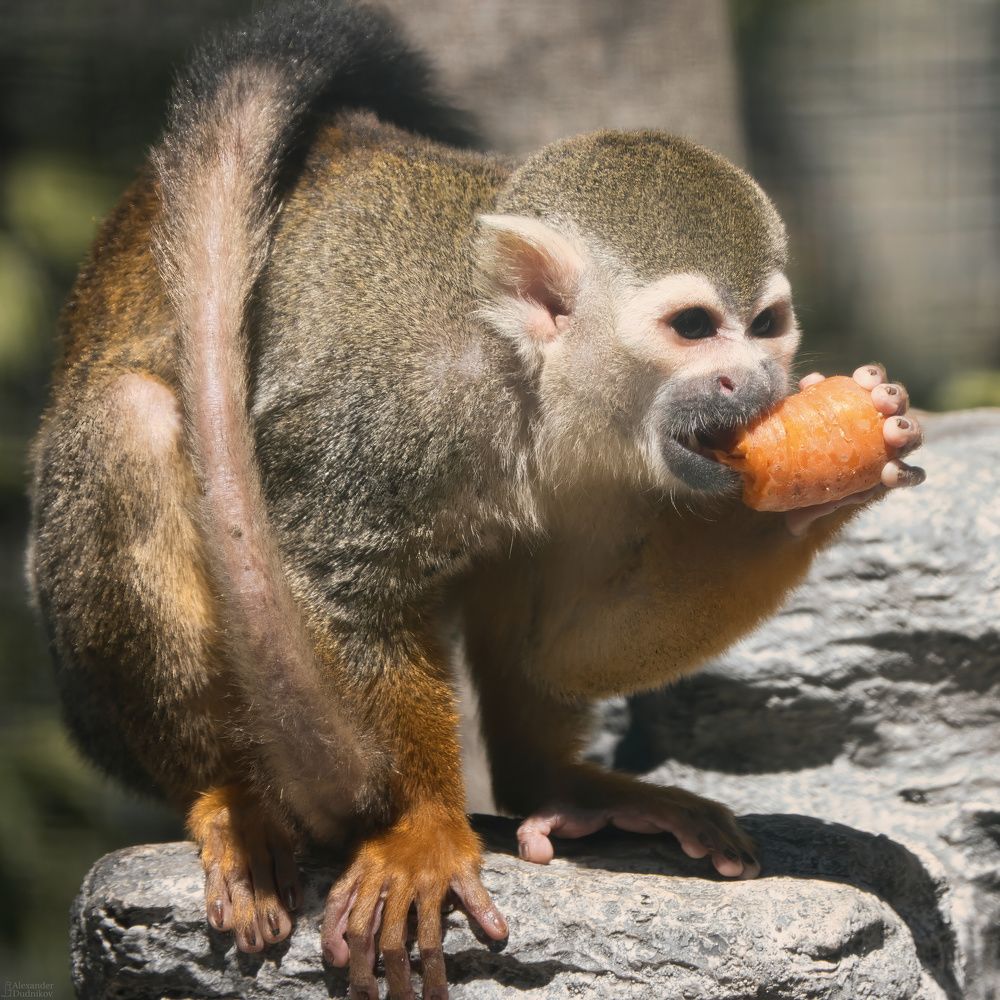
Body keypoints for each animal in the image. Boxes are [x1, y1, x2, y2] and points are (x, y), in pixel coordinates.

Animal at [25, 2, 925, 997]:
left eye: (767, 326)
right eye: (694, 328)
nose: (758, 382)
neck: (527, 378)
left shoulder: (619, 470)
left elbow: (566, 642)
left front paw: (825, 486)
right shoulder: (390, 400)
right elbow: (335, 581)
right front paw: (421, 829)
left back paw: (554, 786)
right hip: (94, 692)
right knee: (134, 418)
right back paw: (228, 795)